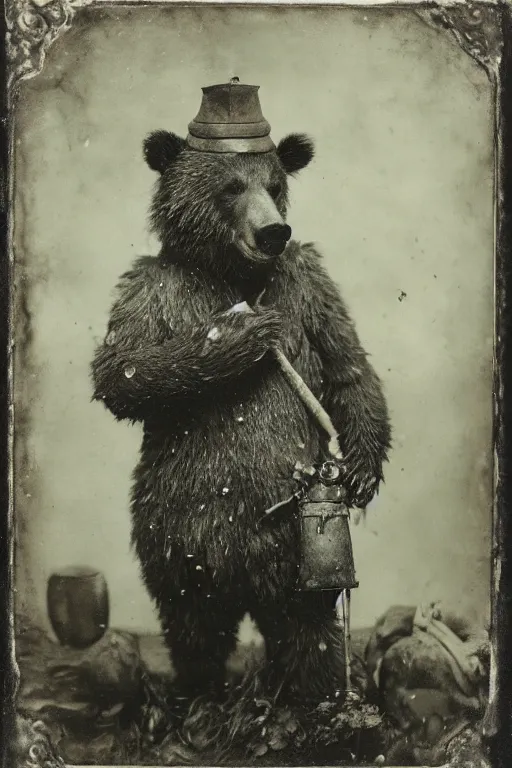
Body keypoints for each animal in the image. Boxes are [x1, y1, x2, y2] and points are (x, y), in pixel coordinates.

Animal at [91, 81, 392, 704]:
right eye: (231, 185)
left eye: (274, 184)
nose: (274, 230)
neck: (232, 273)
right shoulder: (150, 290)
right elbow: (122, 370)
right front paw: (242, 334)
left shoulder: (310, 285)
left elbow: (348, 365)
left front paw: (361, 470)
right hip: (172, 528)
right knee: (191, 620)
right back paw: (199, 695)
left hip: (290, 549)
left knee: (306, 622)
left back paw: (311, 698)